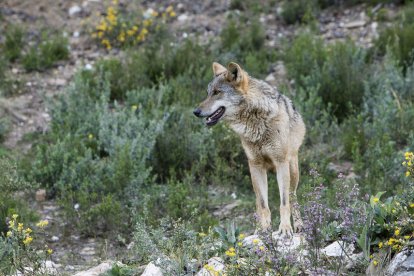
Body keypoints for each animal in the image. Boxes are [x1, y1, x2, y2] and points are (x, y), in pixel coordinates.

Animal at [192, 62, 306, 235]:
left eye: (217, 92)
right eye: (208, 93)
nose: (196, 112)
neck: (256, 121)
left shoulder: (280, 163)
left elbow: (284, 203)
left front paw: (285, 228)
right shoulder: (255, 165)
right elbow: (263, 205)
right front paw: (264, 230)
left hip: (292, 170)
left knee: (293, 197)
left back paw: (299, 225)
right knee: (259, 202)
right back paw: (258, 228)